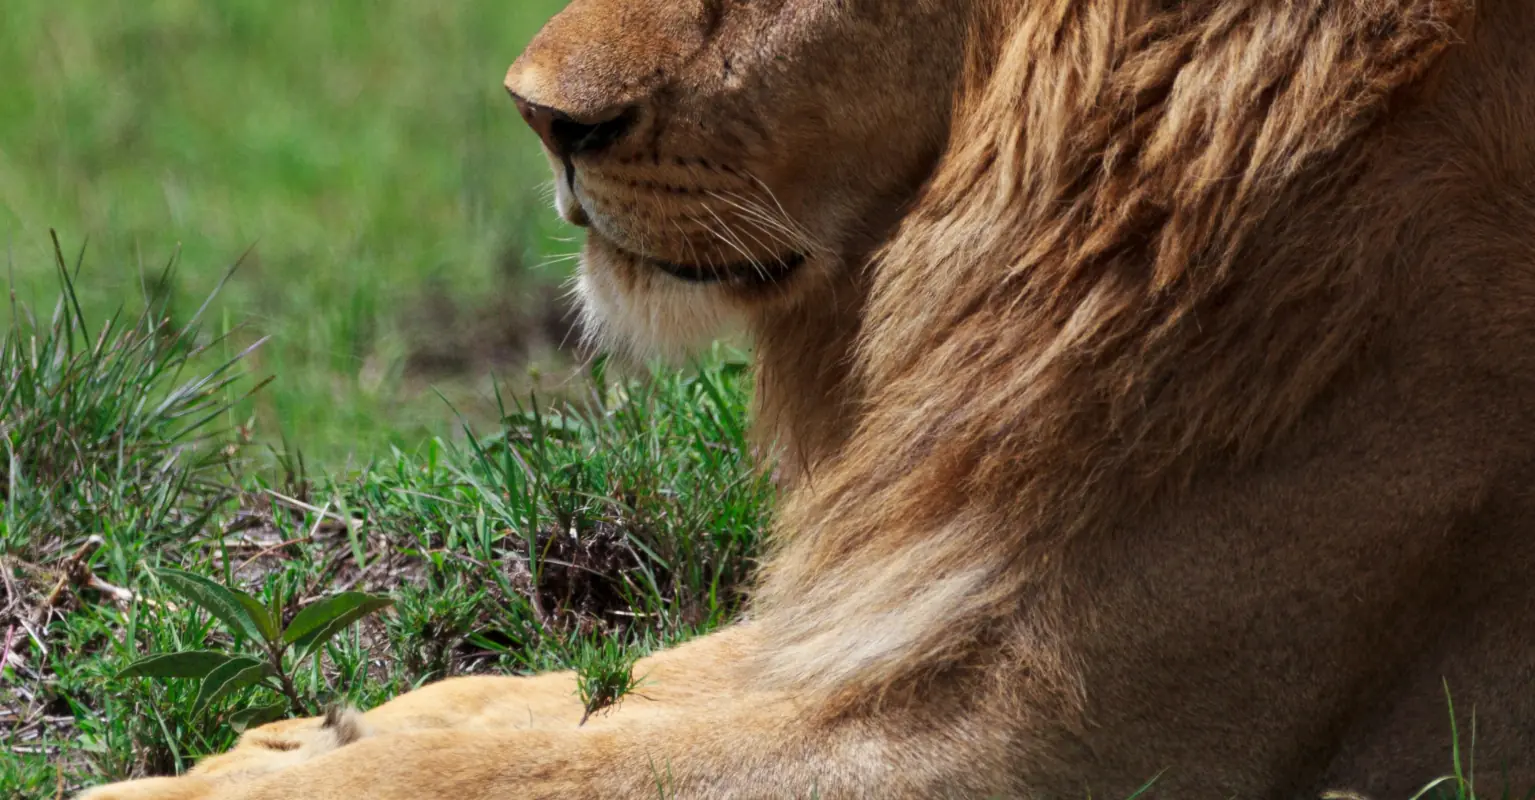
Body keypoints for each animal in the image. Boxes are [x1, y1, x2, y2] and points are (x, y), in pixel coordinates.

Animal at [82, 0, 1535, 797]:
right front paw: (278, 744)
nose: (538, 117)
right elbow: (553, 700)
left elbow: (552, 767)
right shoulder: (888, 606)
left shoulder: (1057, 753)